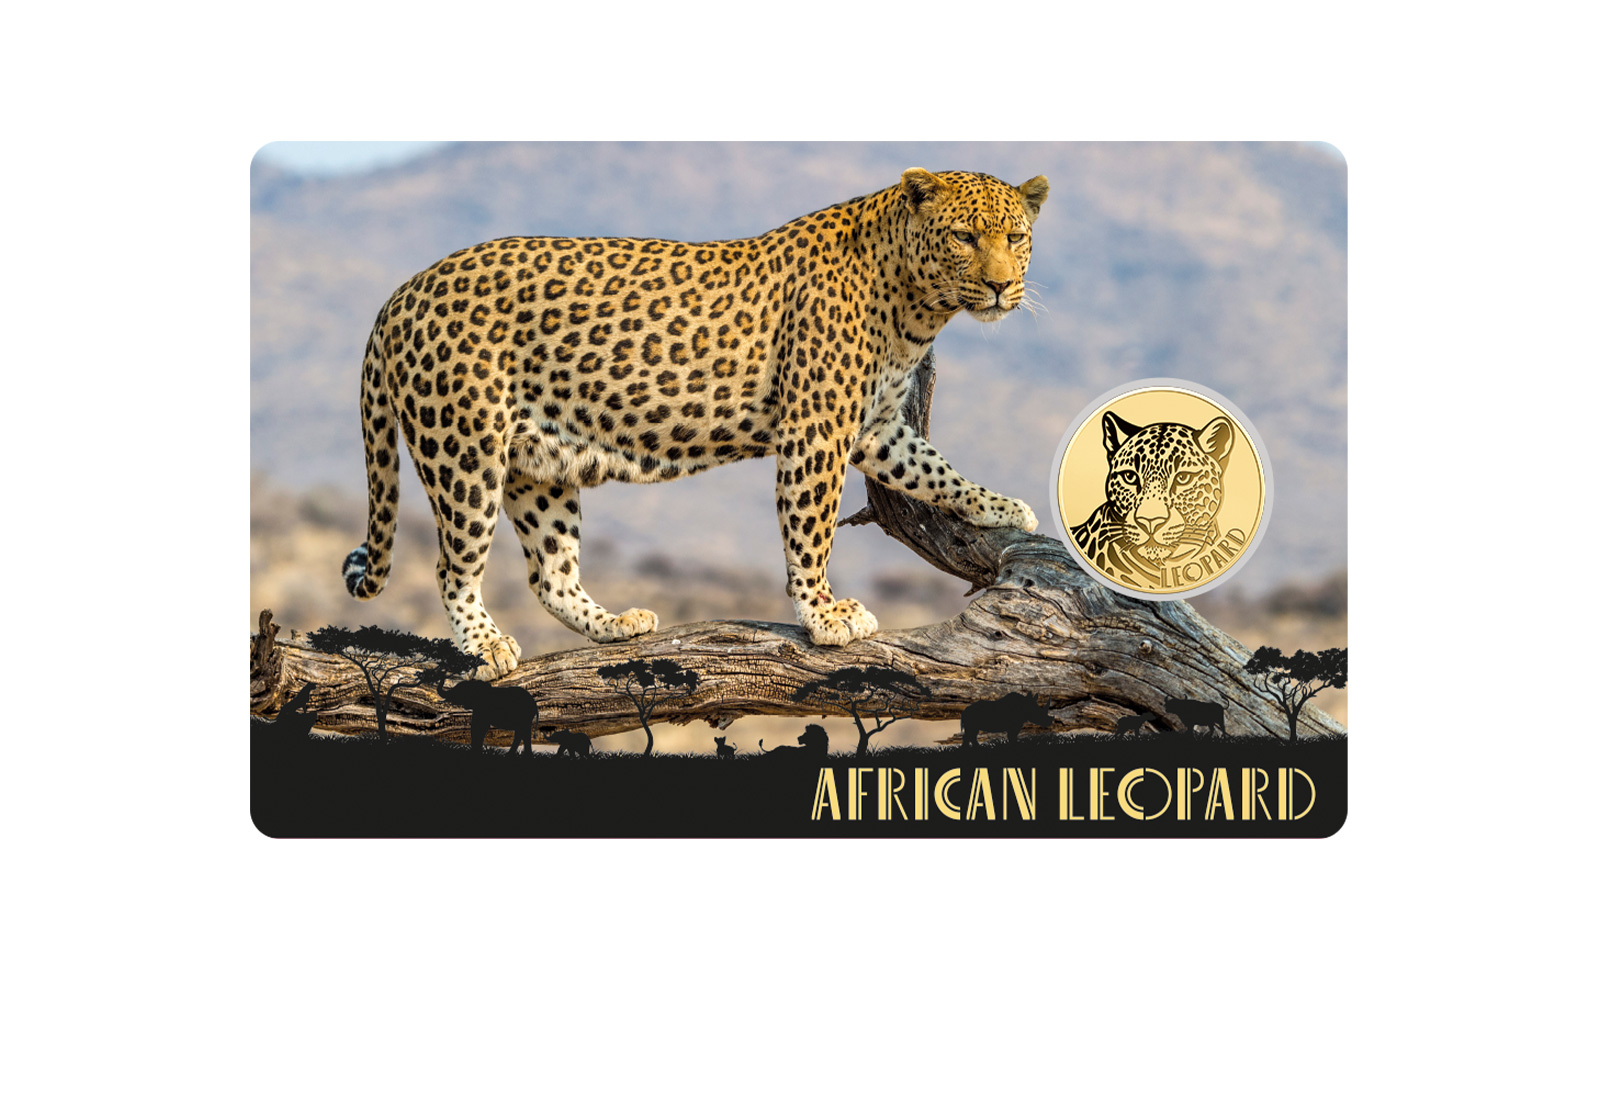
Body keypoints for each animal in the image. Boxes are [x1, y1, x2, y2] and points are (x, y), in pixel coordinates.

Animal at [344, 168, 1049, 679]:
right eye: (963, 237)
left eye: (1014, 239)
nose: (1000, 287)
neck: (916, 308)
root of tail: (398, 295)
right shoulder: (816, 429)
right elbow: (811, 529)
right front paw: (823, 615)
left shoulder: (874, 426)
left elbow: (934, 469)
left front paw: (1000, 506)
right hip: (464, 452)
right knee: (452, 567)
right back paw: (486, 646)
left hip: (537, 467)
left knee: (551, 574)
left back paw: (613, 625)